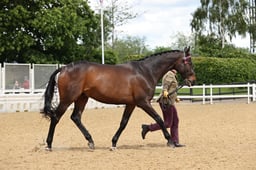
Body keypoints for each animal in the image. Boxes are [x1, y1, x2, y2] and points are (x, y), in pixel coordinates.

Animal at [42, 46, 195, 150]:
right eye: (188, 62)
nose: (193, 81)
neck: (145, 71)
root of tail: (64, 68)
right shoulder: (143, 102)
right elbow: (159, 119)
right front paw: (170, 141)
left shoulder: (131, 104)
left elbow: (123, 123)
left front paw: (114, 143)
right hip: (68, 99)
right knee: (56, 117)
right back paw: (49, 144)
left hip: (82, 98)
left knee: (76, 117)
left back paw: (90, 141)